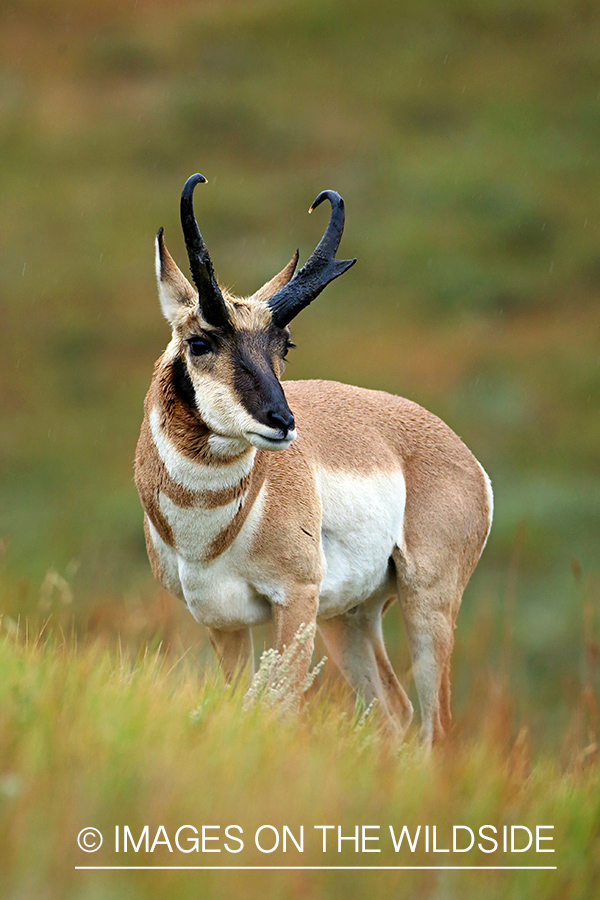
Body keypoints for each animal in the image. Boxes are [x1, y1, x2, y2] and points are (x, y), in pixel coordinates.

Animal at [136, 174, 492, 744]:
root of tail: (460, 452)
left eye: (284, 344)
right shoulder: (222, 623)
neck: (208, 533)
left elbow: (277, 710)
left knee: (435, 726)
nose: (282, 421)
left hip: (426, 604)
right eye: (199, 342)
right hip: (348, 618)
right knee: (395, 712)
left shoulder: (295, 601)